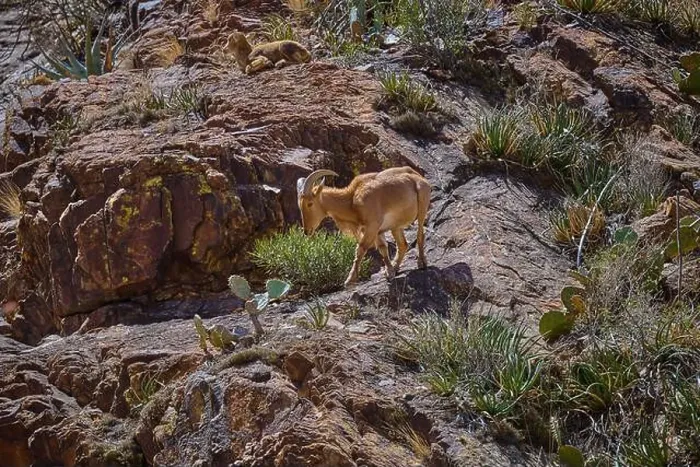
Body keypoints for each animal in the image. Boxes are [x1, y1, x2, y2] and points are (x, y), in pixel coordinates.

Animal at [296, 166, 431, 288]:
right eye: (300, 205)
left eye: (310, 203)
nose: (307, 231)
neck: (351, 200)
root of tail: (418, 177)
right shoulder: (377, 230)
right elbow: (382, 248)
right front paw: (389, 271)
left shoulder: (372, 226)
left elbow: (360, 249)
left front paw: (349, 280)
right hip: (396, 226)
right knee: (403, 244)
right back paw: (396, 266)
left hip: (422, 208)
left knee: (420, 234)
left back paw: (421, 263)